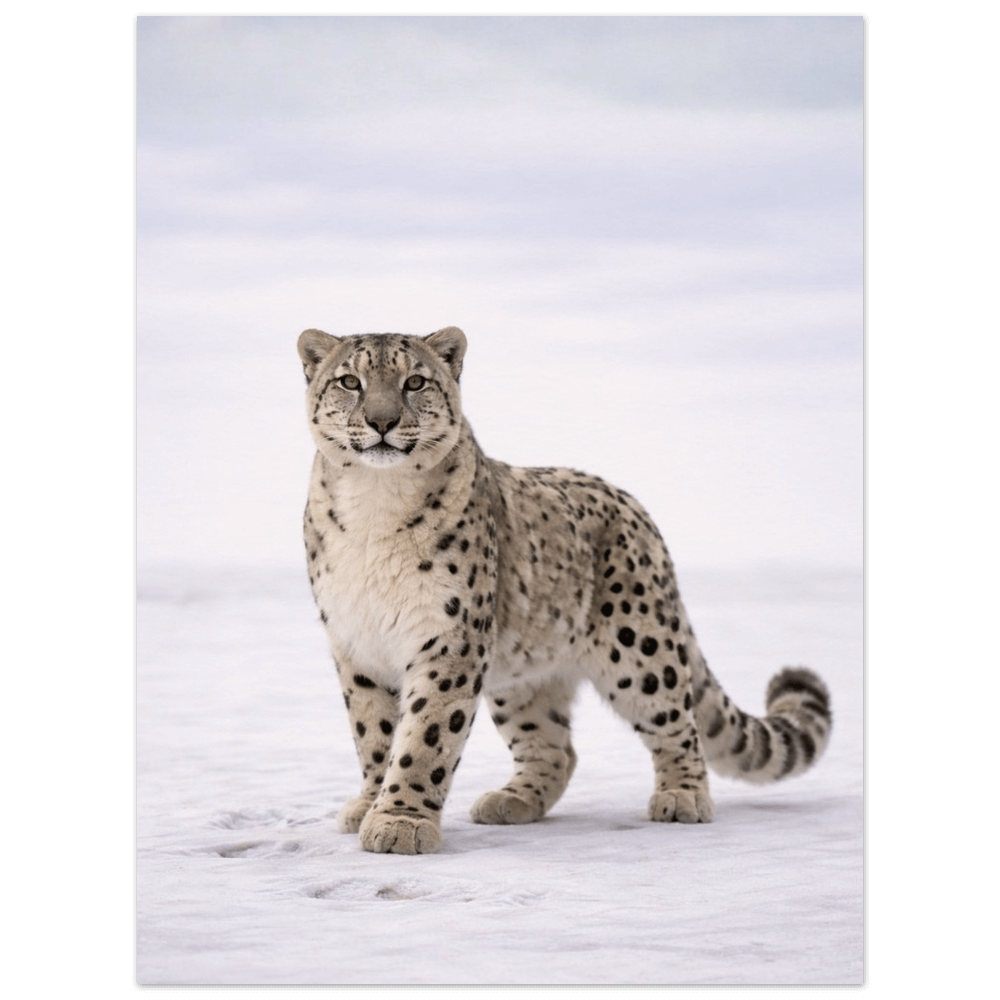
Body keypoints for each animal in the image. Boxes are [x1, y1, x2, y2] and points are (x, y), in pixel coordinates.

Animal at [298, 325, 832, 855]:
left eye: (414, 382)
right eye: (350, 381)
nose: (382, 420)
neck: (374, 508)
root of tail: (637, 509)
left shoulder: (449, 636)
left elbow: (426, 734)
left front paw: (400, 822)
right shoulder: (357, 642)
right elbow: (374, 732)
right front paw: (371, 804)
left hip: (640, 648)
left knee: (678, 722)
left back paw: (682, 797)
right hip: (522, 675)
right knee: (555, 748)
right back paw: (511, 801)